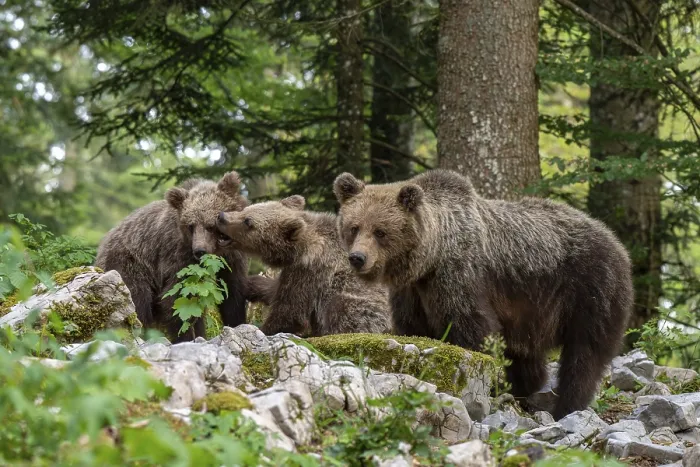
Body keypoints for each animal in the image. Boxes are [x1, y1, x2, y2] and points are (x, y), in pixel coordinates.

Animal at [95, 171, 250, 342]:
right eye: (191, 226)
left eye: (211, 225)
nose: (200, 250)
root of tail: (103, 244)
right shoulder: (177, 256)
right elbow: (180, 299)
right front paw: (191, 335)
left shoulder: (232, 258)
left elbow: (233, 293)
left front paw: (237, 323)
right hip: (129, 263)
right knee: (136, 299)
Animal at [215, 195, 392, 337]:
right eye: (245, 209)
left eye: (248, 221)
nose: (221, 216)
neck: (298, 250)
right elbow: (275, 290)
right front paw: (250, 284)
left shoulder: (310, 270)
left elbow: (290, 310)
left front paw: (262, 329)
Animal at [333, 169, 633, 420]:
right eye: (354, 227)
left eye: (381, 231)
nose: (357, 258)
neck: (431, 258)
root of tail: (616, 241)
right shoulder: (412, 293)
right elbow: (413, 328)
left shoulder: (460, 277)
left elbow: (471, 328)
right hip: (531, 310)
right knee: (527, 354)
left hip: (589, 289)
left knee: (585, 353)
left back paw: (567, 406)